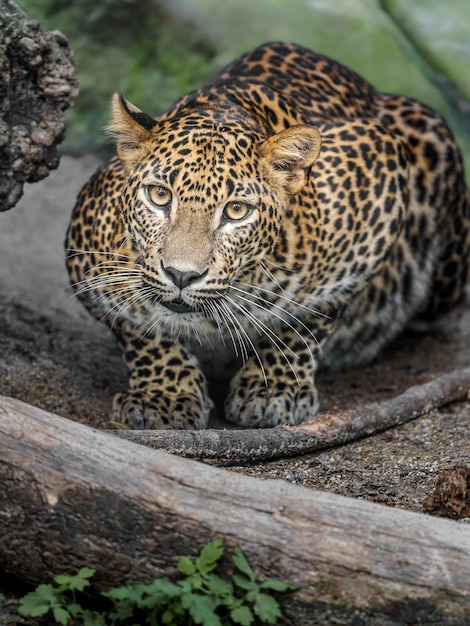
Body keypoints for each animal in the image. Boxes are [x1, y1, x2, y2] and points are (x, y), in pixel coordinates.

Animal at [65, 40, 470, 428]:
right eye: (160, 195)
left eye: (236, 211)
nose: (182, 275)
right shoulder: (85, 255)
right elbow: (137, 327)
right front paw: (163, 395)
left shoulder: (379, 173)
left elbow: (306, 319)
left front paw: (274, 388)